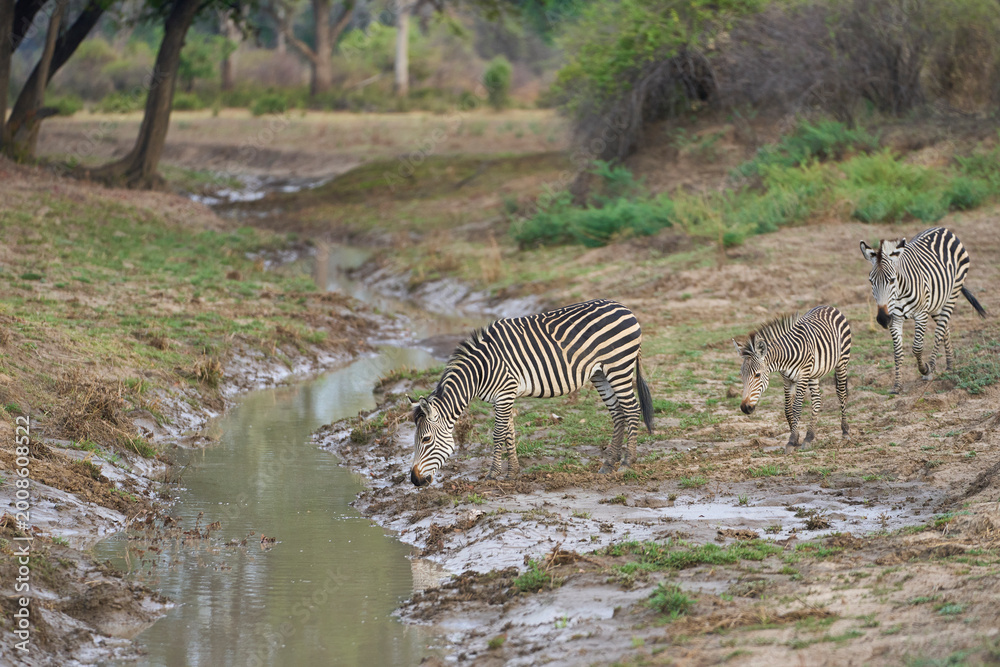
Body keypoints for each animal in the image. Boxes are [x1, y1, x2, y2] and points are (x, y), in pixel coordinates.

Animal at [409, 299, 654, 486]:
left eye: (426, 439)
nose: (414, 480)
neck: (480, 371)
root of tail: (625, 308)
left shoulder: (505, 393)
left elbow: (498, 434)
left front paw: (492, 474)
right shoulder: (504, 397)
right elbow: (509, 433)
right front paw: (512, 472)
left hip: (618, 366)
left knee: (632, 409)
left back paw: (627, 463)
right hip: (600, 373)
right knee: (618, 413)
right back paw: (609, 463)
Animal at [734, 306, 851, 453]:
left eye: (757, 375)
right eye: (741, 375)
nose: (745, 408)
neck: (785, 358)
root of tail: (829, 307)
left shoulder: (802, 376)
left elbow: (796, 408)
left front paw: (792, 440)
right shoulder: (787, 380)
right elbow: (787, 409)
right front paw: (796, 438)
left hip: (842, 362)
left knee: (841, 393)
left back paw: (845, 431)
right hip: (814, 374)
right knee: (817, 400)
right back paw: (809, 437)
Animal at [860, 227, 986, 394]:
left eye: (892, 280)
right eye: (871, 281)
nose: (882, 319)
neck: (899, 294)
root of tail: (943, 229)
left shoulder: (921, 315)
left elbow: (917, 348)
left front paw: (925, 369)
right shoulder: (895, 318)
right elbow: (897, 353)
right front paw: (897, 385)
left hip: (952, 293)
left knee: (939, 331)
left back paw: (932, 367)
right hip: (935, 303)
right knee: (945, 328)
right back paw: (950, 365)